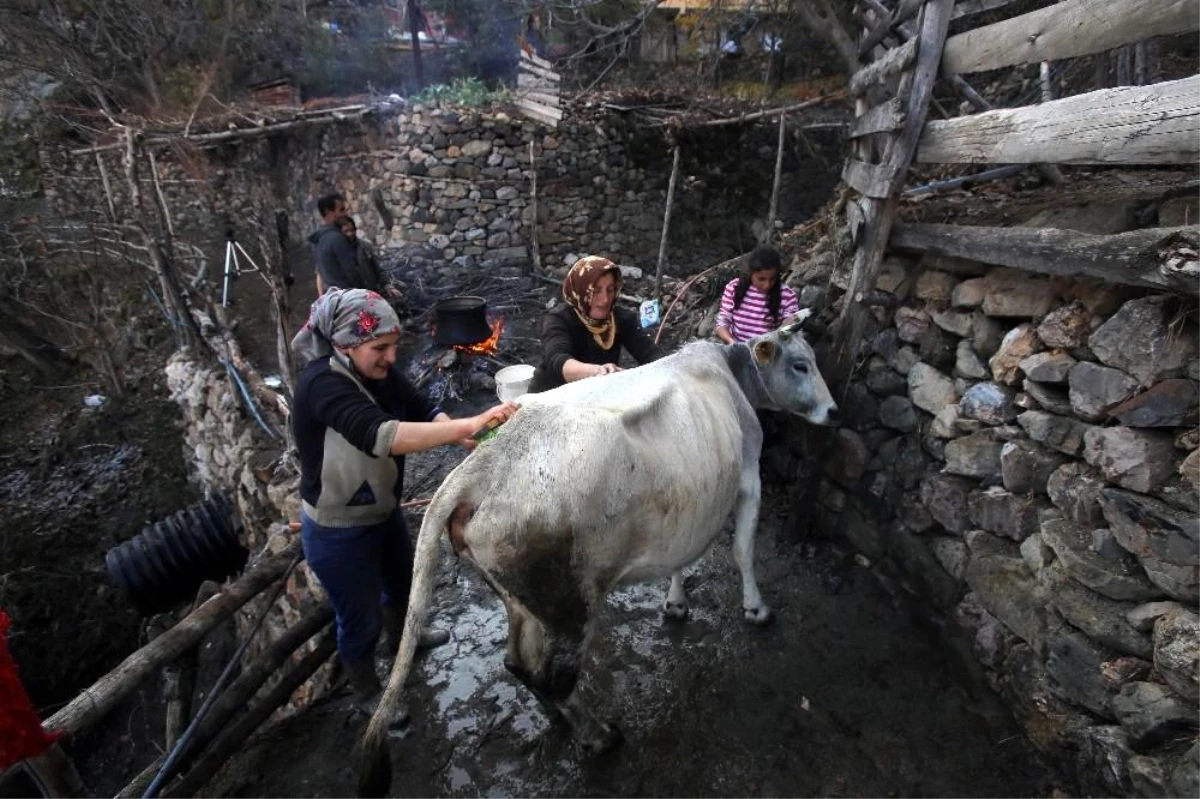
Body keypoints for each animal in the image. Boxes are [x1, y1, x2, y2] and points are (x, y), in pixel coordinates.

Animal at [360, 314, 840, 791]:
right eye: (800, 364)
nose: (834, 412)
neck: (728, 372)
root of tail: (484, 462)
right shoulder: (748, 478)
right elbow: (742, 551)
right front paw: (756, 609)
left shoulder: (690, 505)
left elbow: (680, 559)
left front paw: (676, 602)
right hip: (570, 607)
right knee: (553, 677)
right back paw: (598, 735)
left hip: (521, 599)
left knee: (518, 664)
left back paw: (560, 719)